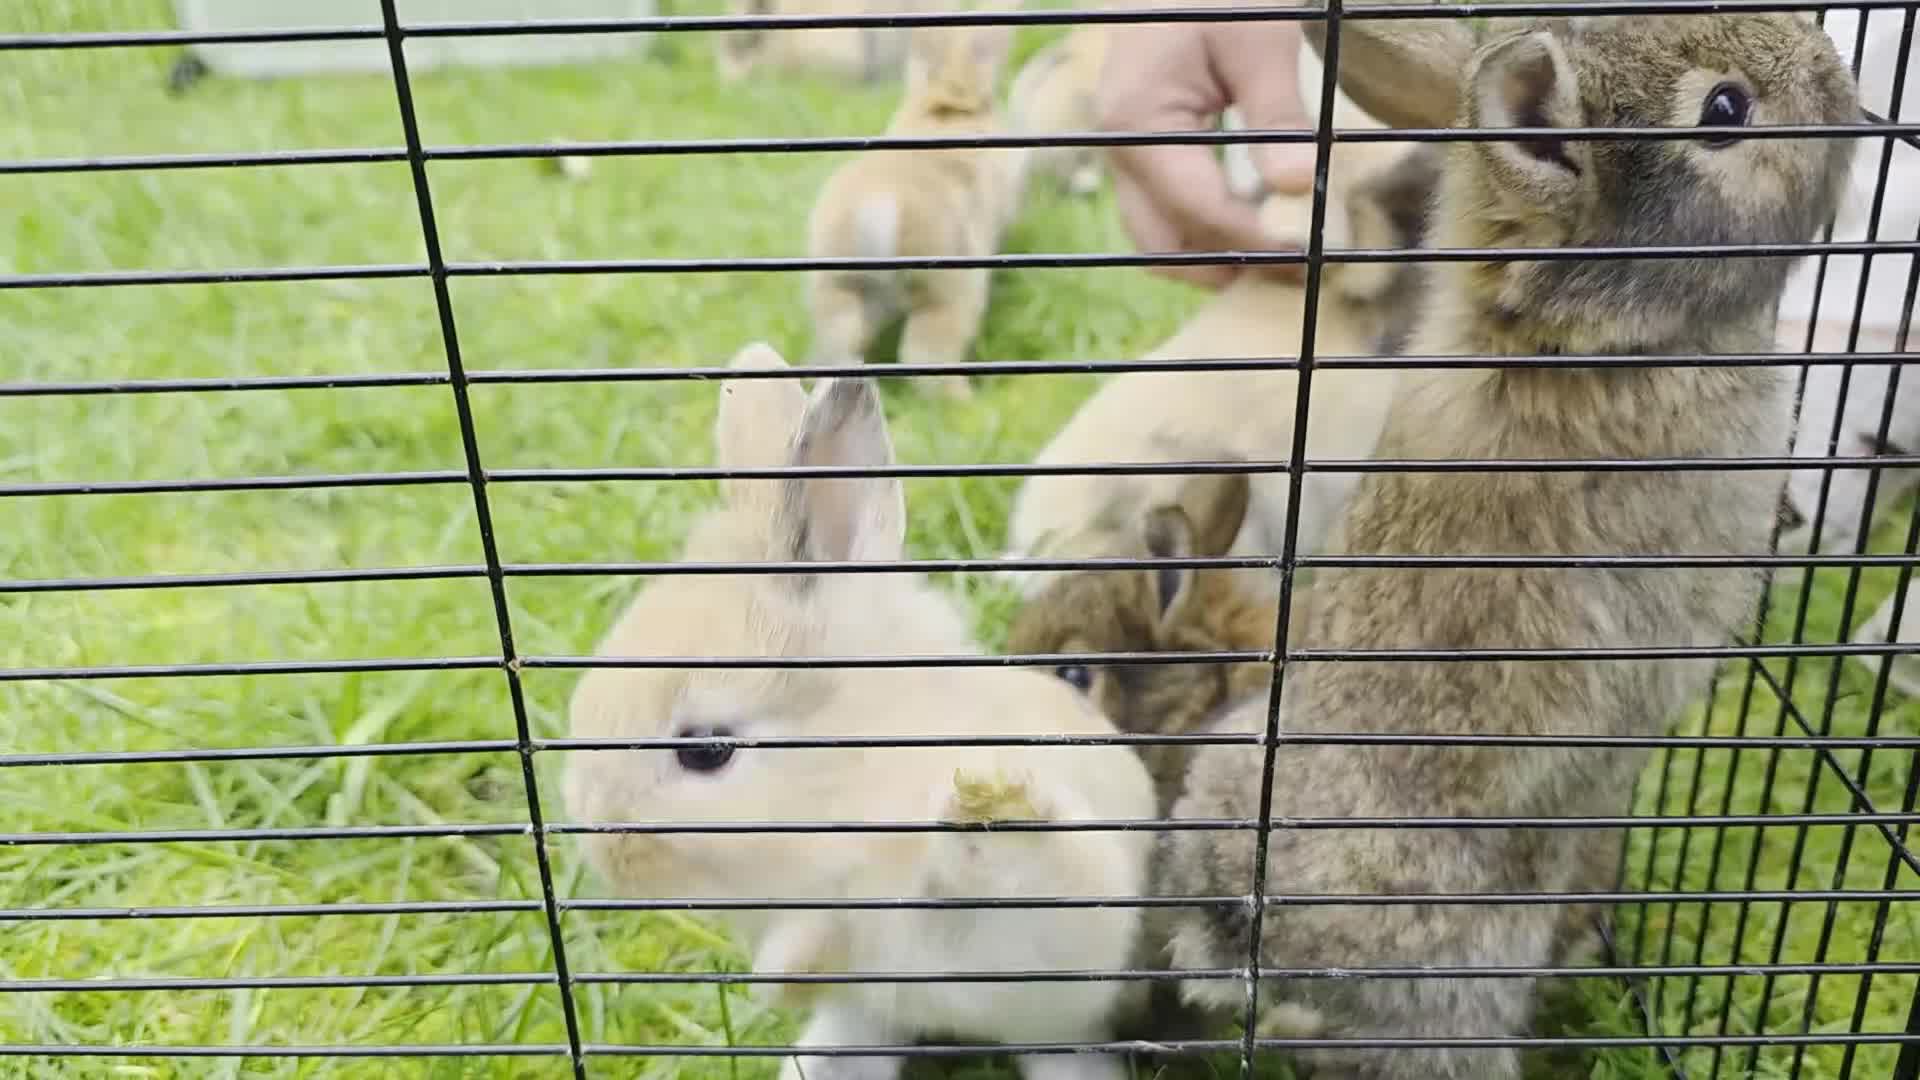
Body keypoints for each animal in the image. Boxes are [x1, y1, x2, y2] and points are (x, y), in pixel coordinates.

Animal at [564, 343, 1159, 1080]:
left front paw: (981, 814)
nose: (604, 846)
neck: (855, 771)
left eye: (705, 750)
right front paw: (778, 980)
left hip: (1059, 1027)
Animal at [805, 8, 1028, 402]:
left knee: (843, 341)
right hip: (949, 292)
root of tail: (879, 209)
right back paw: (966, 400)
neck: (945, 106)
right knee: (924, 355)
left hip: (838, 289)